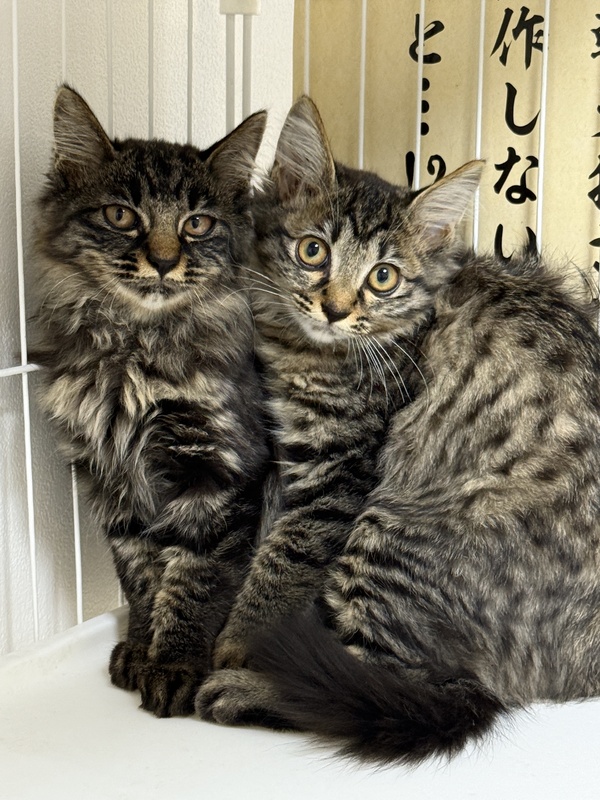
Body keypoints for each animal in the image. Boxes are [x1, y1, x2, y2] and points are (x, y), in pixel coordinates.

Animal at [33, 85, 272, 717]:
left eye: (197, 224)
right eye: (121, 215)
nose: (164, 261)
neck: (135, 351)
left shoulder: (220, 473)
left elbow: (193, 579)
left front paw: (175, 665)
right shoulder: (111, 479)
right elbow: (140, 576)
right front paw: (141, 649)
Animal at [198, 95, 600, 765]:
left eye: (382, 277)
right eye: (313, 252)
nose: (335, 308)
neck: (309, 349)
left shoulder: (337, 468)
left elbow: (283, 562)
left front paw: (235, 642)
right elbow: (263, 537)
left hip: (391, 529)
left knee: (391, 687)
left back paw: (247, 689)